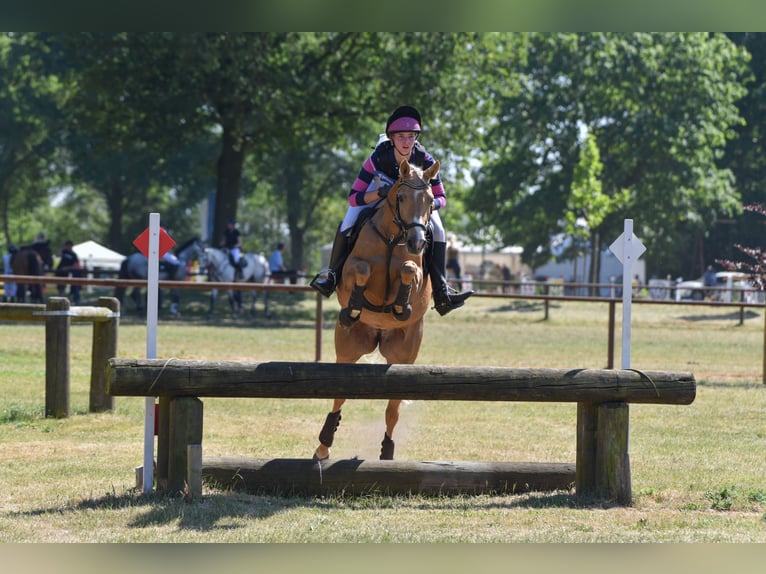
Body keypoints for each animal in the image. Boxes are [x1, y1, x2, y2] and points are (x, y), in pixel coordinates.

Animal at [312, 161, 438, 464]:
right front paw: (355, 305)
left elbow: (408, 269)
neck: (393, 238)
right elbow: (361, 269)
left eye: (430, 200)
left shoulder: (418, 276)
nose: (417, 243)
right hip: (348, 349)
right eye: (400, 198)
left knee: (392, 410)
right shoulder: (350, 272)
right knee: (339, 396)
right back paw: (323, 447)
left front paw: (401, 305)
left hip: (404, 356)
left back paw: (387, 452)